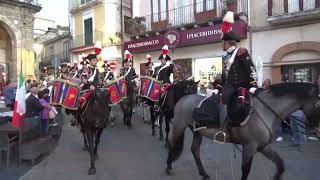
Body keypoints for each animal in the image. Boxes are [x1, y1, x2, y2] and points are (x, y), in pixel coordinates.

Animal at [166, 82, 318, 180]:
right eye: (318, 102)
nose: (315, 128)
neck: (264, 111)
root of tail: (183, 99)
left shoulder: (263, 146)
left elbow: (280, 164)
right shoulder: (249, 147)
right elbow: (245, 170)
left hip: (197, 131)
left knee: (195, 150)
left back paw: (203, 173)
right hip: (179, 127)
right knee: (172, 144)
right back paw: (168, 167)